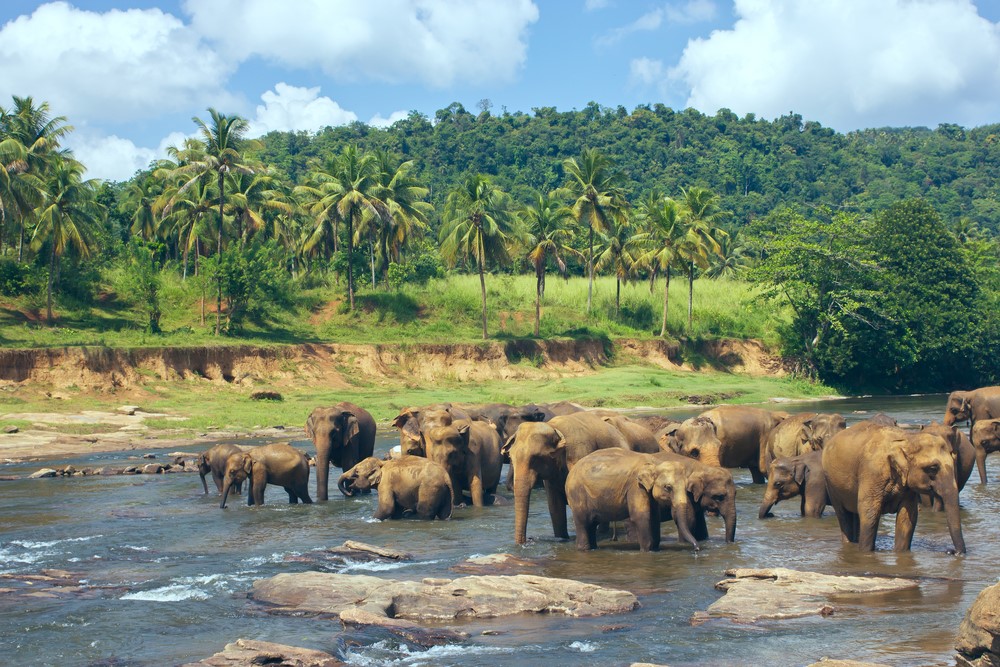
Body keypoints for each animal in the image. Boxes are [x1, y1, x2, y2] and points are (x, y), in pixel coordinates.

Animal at [502, 411, 632, 545]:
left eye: (535, 458)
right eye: (511, 457)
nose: (528, 540)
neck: (554, 428)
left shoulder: (579, 453)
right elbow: (555, 506)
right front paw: (562, 538)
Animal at [565, 449, 698, 551]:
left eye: (686, 487)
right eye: (668, 487)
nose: (697, 549)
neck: (655, 462)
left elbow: (655, 516)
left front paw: (655, 549)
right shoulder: (636, 486)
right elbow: (641, 516)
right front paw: (647, 550)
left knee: (592, 524)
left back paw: (594, 548)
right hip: (577, 495)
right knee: (583, 522)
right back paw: (584, 549)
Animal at [822, 422, 965, 553]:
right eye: (933, 468)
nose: (951, 551)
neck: (907, 438)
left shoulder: (907, 486)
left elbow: (907, 517)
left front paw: (901, 553)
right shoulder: (872, 472)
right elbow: (869, 512)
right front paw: (865, 553)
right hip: (831, 485)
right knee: (843, 515)